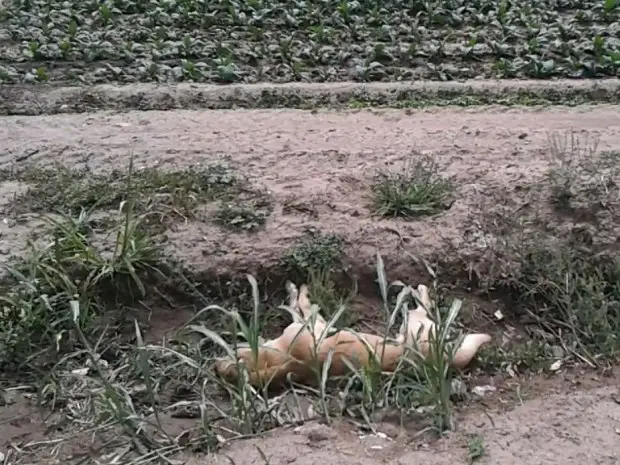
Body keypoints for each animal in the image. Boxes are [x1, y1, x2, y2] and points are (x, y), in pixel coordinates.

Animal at [216, 280, 492, 386]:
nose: (216, 365)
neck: (285, 360)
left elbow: (300, 307)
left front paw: (297, 291)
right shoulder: (312, 326)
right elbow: (302, 307)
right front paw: (299, 292)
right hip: (415, 326)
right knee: (421, 309)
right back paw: (419, 292)